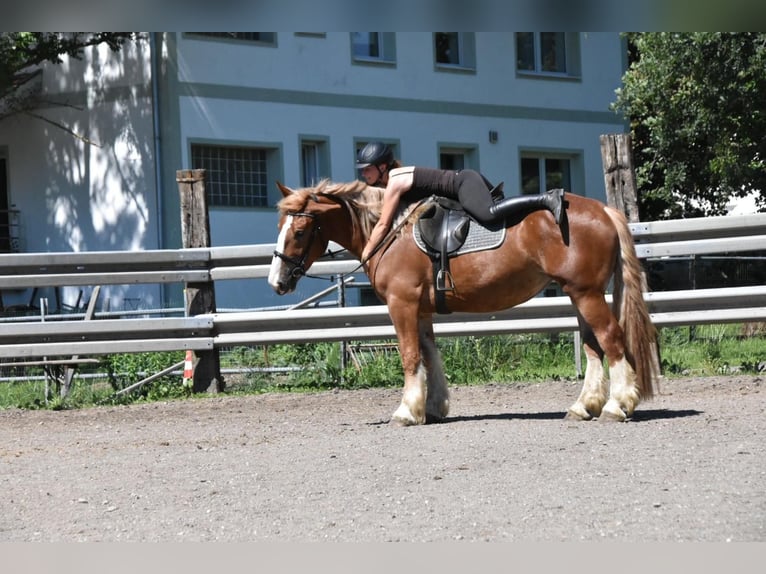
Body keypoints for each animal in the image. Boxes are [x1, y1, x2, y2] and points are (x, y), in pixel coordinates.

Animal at [268, 179, 661, 426]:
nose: (277, 281)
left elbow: (410, 356)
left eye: (299, 232)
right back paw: (583, 406)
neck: (391, 231)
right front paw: (432, 407)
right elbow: (429, 355)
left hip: (586, 293)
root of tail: (605, 210)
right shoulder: (421, 310)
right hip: (578, 294)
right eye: (280, 228)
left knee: (611, 339)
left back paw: (617, 405)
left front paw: (406, 412)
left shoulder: (402, 304)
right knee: (595, 346)